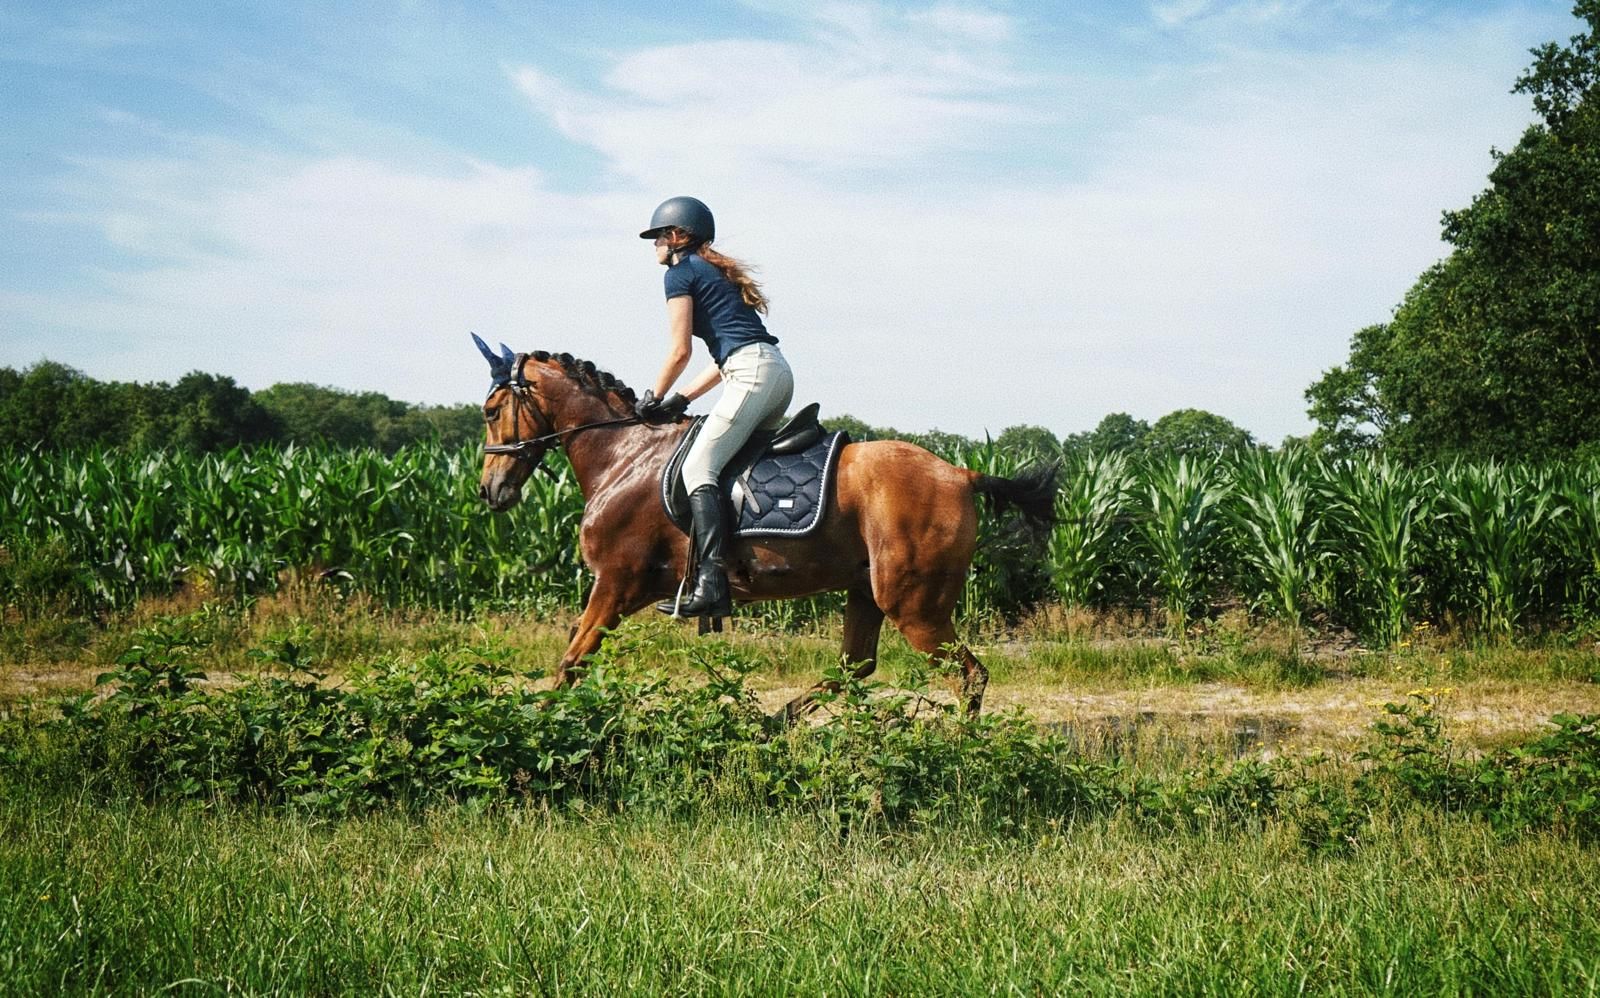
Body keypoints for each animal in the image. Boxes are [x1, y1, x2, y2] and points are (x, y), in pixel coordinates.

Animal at [473, 340, 1058, 721]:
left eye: (491, 410)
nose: (488, 490)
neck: (625, 453)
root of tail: (961, 473)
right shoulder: (623, 588)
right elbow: (576, 652)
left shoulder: (617, 582)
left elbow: (573, 659)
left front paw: (544, 729)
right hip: (866, 590)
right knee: (855, 667)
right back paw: (777, 723)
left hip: (914, 605)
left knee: (967, 674)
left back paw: (959, 749)